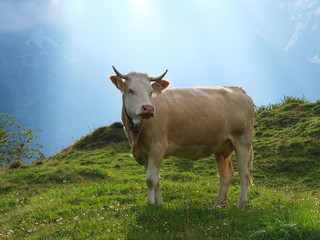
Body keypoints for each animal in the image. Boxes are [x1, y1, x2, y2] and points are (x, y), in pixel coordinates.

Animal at [110, 66, 255, 208]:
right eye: (130, 90)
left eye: (150, 92)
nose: (149, 108)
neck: (137, 134)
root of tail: (237, 89)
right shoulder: (144, 153)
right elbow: (156, 179)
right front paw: (158, 204)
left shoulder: (157, 148)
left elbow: (150, 179)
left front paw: (150, 203)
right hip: (221, 147)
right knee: (226, 175)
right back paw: (218, 205)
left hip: (242, 140)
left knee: (244, 173)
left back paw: (241, 204)